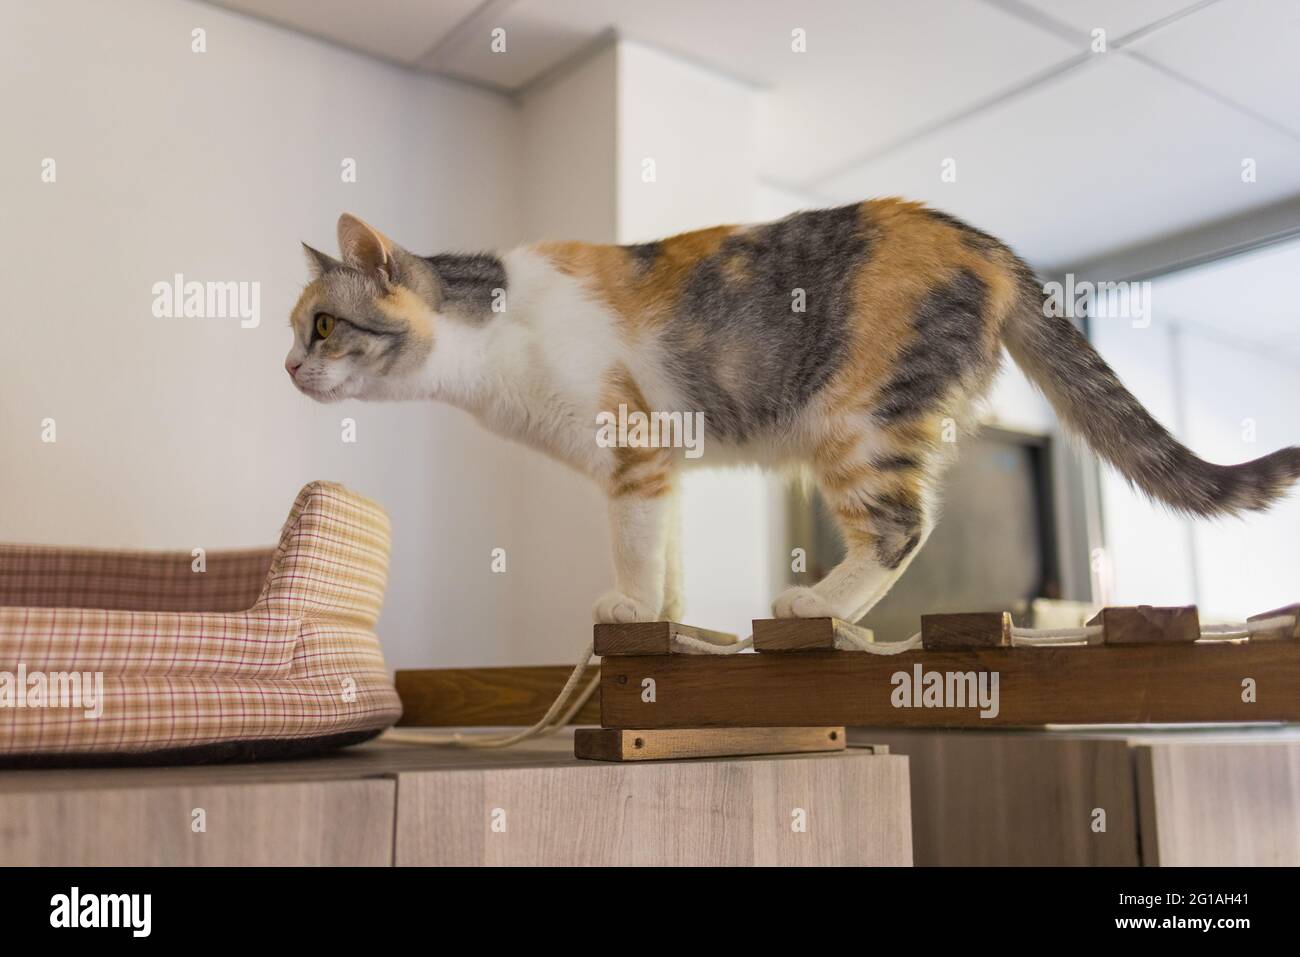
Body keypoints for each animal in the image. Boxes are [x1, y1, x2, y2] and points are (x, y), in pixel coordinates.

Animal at [284, 208, 1300, 629]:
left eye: (324, 325)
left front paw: (630, 607)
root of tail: (985, 240)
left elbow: (633, 546)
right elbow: (663, 546)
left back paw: (816, 603)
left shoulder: (633, 449)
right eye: (297, 329)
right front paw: (667, 615)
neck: (490, 337)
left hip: (858, 423)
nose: (289, 366)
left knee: (902, 526)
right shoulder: (661, 466)